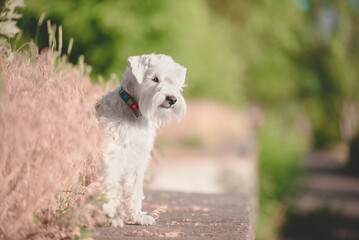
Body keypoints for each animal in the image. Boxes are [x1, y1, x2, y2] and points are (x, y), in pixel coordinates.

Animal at [95, 53, 187, 227]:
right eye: (155, 79)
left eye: (172, 81)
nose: (172, 99)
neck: (134, 111)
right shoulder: (113, 155)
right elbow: (111, 184)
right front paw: (111, 215)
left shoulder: (138, 158)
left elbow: (134, 189)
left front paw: (137, 216)